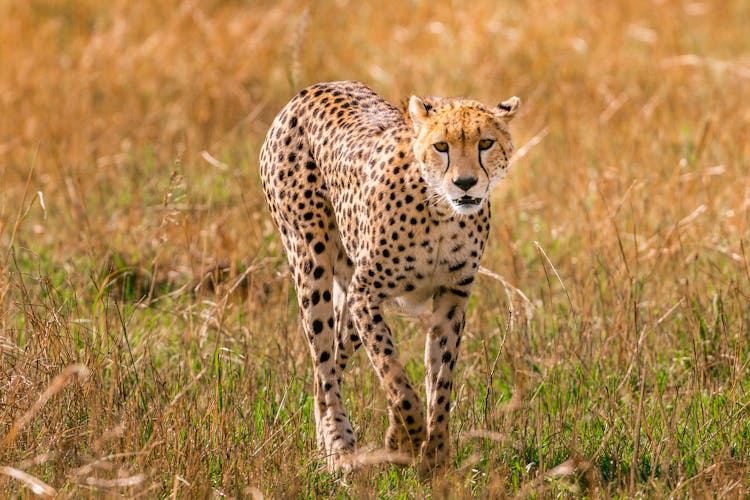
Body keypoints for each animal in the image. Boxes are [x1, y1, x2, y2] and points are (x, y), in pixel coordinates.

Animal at [262, 80, 520, 474]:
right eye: (441, 146)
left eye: (485, 143)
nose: (465, 183)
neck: (442, 211)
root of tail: (314, 88)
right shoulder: (366, 294)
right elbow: (394, 374)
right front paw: (404, 441)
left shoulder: (450, 299)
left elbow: (440, 383)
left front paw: (436, 458)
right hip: (311, 263)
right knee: (324, 365)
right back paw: (339, 450)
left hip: (347, 289)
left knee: (333, 360)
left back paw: (326, 442)